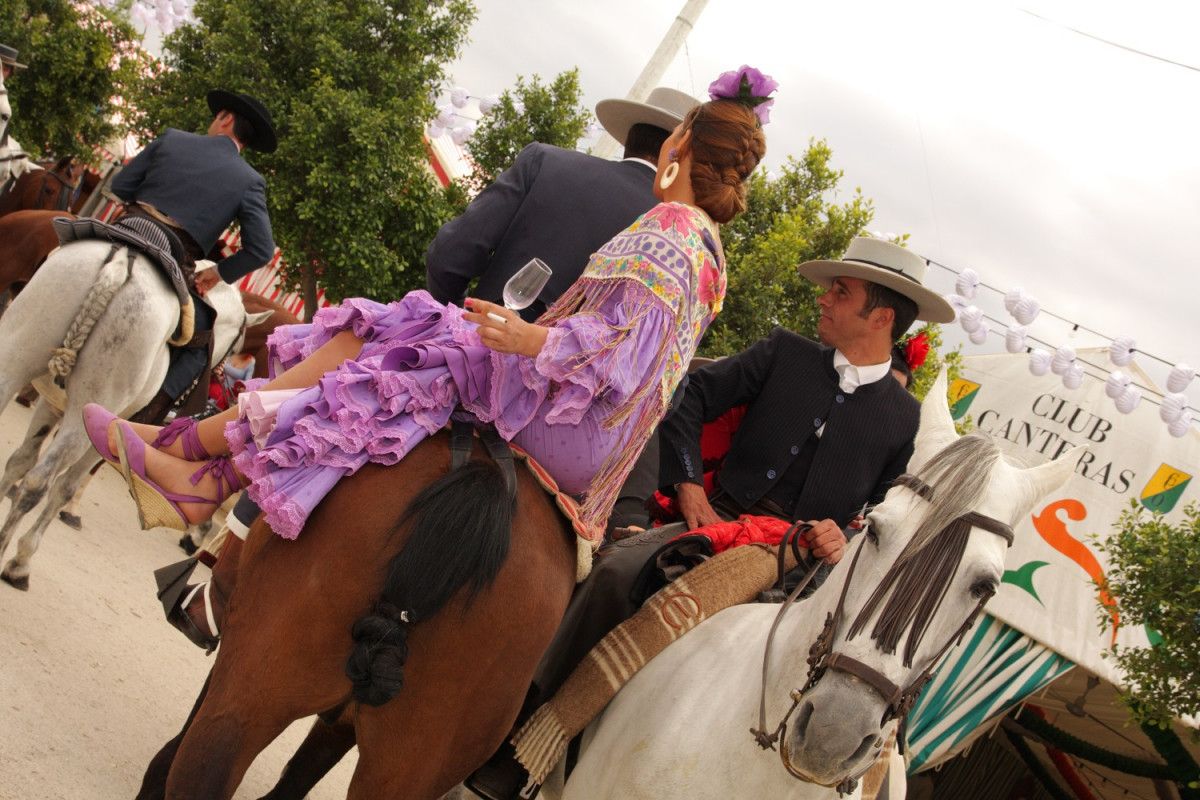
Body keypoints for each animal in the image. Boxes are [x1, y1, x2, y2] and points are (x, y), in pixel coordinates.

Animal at [0, 237, 270, 587]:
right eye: (237, 347)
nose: (224, 378)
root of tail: (120, 267)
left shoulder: (52, 406)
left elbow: (20, 461)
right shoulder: (108, 428)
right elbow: (65, 484)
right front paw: (23, 558)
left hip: (13, 361)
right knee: (38, 483)